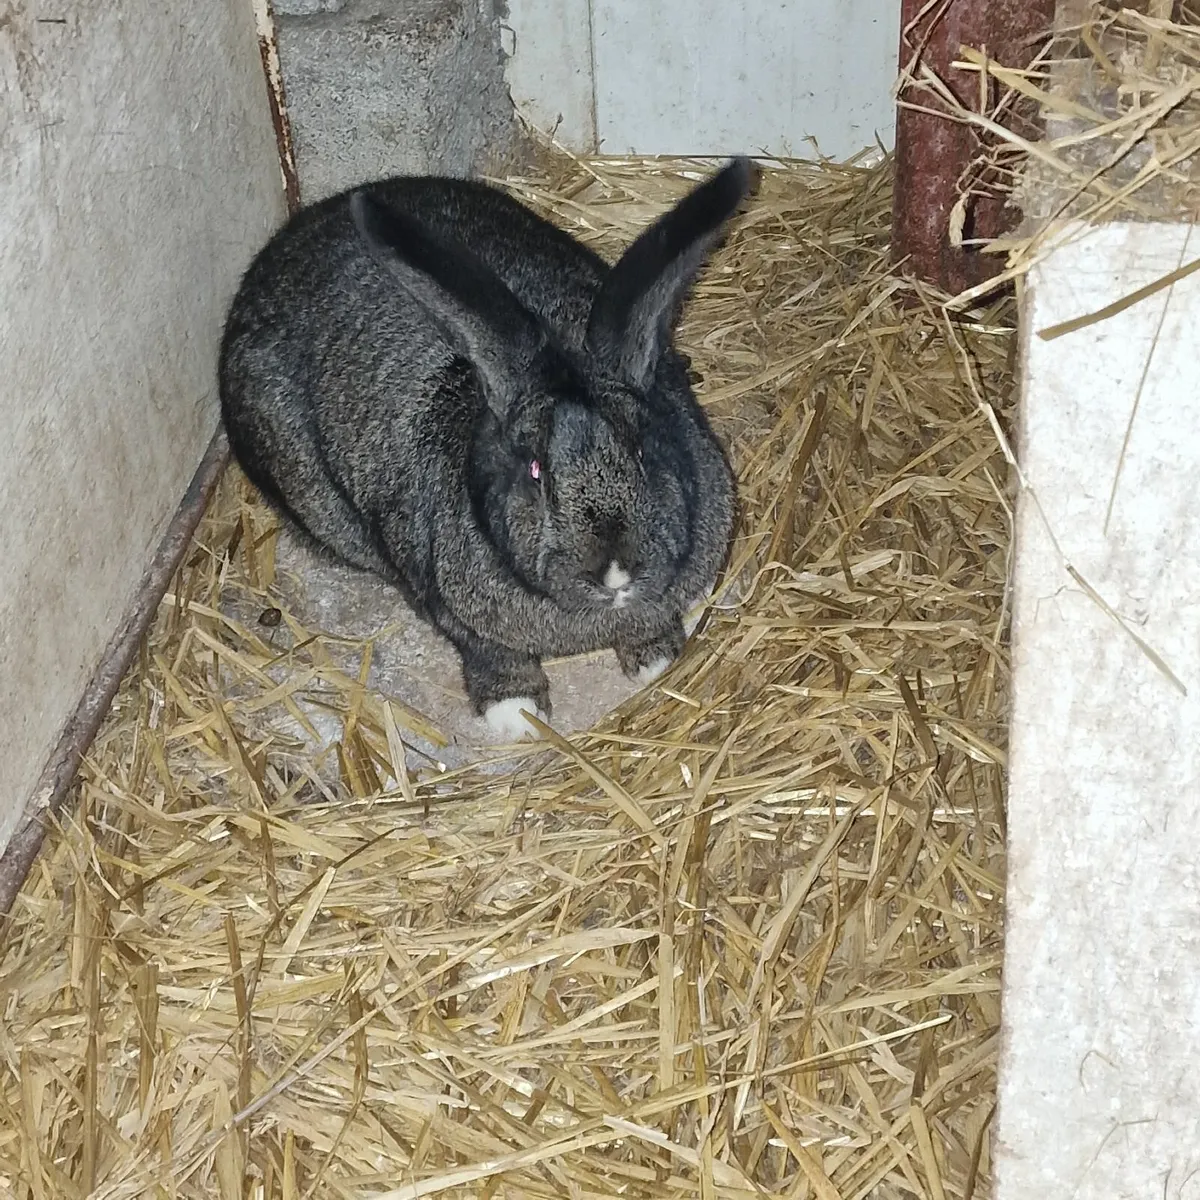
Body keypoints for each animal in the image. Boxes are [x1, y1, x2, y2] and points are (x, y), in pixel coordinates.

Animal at [218, 157, 754, 741]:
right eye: (537, 472)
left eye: (642, 453)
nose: (614, 572)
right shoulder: (453, 613)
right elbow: (492, 656)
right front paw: (517, 715)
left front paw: (657, 659)